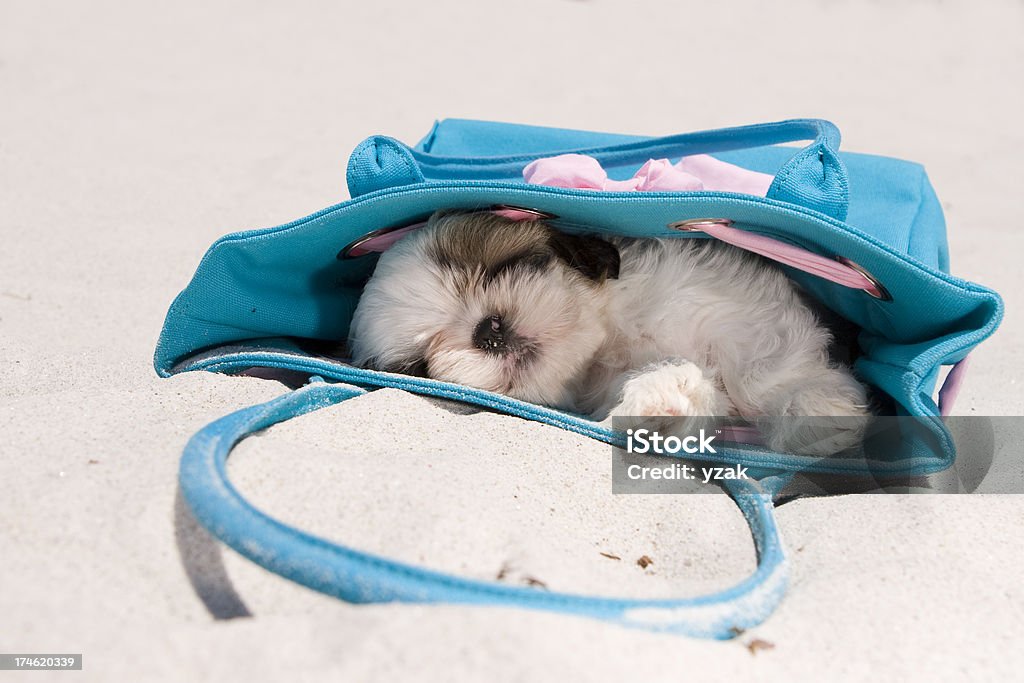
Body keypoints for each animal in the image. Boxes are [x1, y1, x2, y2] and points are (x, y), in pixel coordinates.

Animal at [348, 208, 868, 454]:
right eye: (420, 365)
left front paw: (815, 408)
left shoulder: (738, 306)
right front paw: (661, 404)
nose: (488, 332)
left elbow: (766, 364)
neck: (613, 337)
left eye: (503, 267)